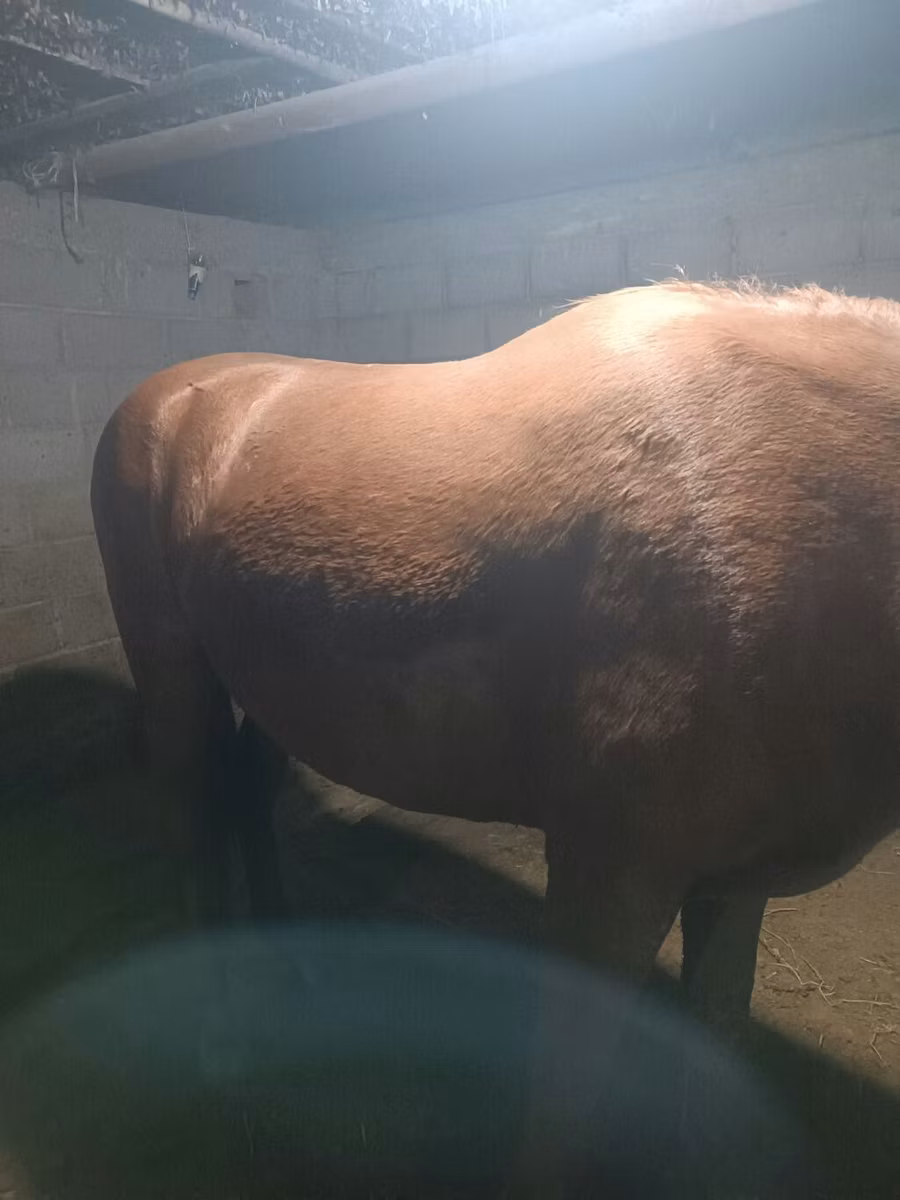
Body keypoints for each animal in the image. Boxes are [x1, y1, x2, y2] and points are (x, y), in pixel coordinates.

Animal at [90, 279, 900, 1024]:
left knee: (248, 796)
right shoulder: (609, 877)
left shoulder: (735, 883)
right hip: (171, 671)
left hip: (274, 684)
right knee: (190, 815)